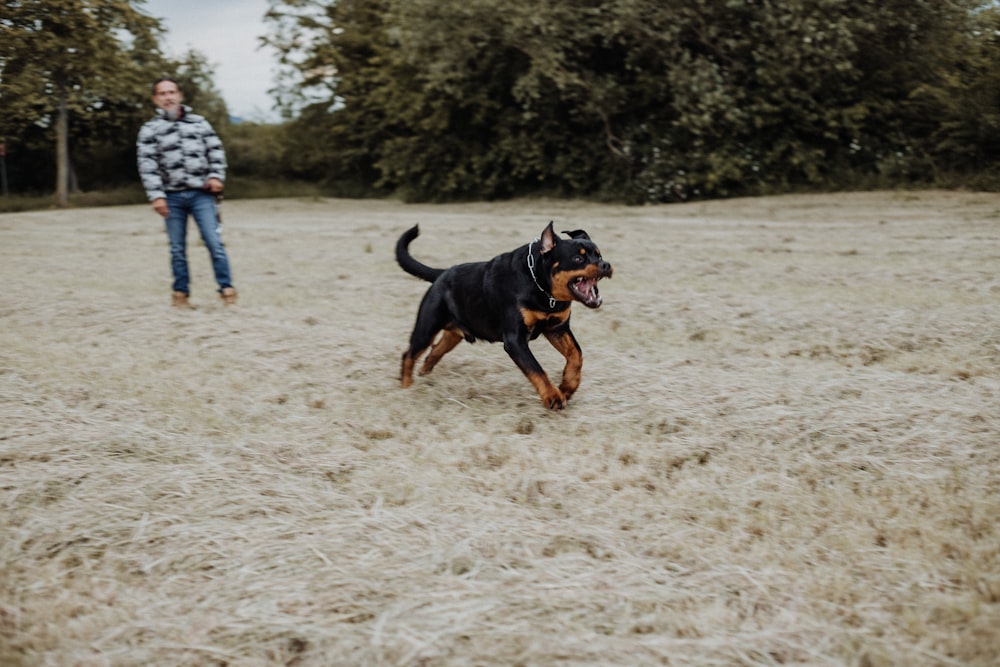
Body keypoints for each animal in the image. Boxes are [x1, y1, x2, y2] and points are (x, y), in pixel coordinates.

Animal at [396, 222, 612, 410]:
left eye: (599, 255)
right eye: (578, 258)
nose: (606, 265)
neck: (541, 286)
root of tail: (442, 273)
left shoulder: (557, 328)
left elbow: (576, 354)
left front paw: (567, 386)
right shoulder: (515, 340)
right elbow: (537, 369)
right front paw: (553, 397)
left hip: (453, 334)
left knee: (434, 351)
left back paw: (425, 372)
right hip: (426, 327)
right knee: (409, 354)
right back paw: (406, 387)